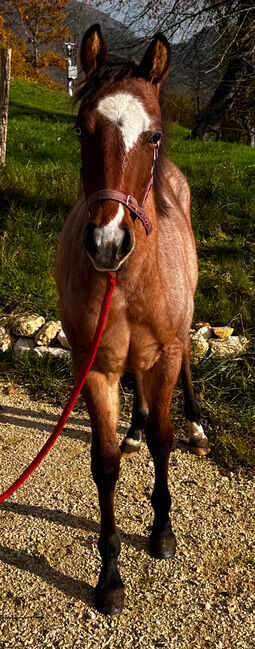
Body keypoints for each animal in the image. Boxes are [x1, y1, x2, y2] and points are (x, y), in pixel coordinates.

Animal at [55, 24, 209, 612]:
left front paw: (162, 531)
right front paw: (110, 575)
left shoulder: (163, 354)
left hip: (180, 334)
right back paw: (136, 427)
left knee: (185, 370)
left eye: (155, 136)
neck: (126, 283)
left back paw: (195, 422)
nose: (107, 242)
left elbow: (166, 440)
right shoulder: (95, 367)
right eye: (82, 127)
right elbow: (104, 464)